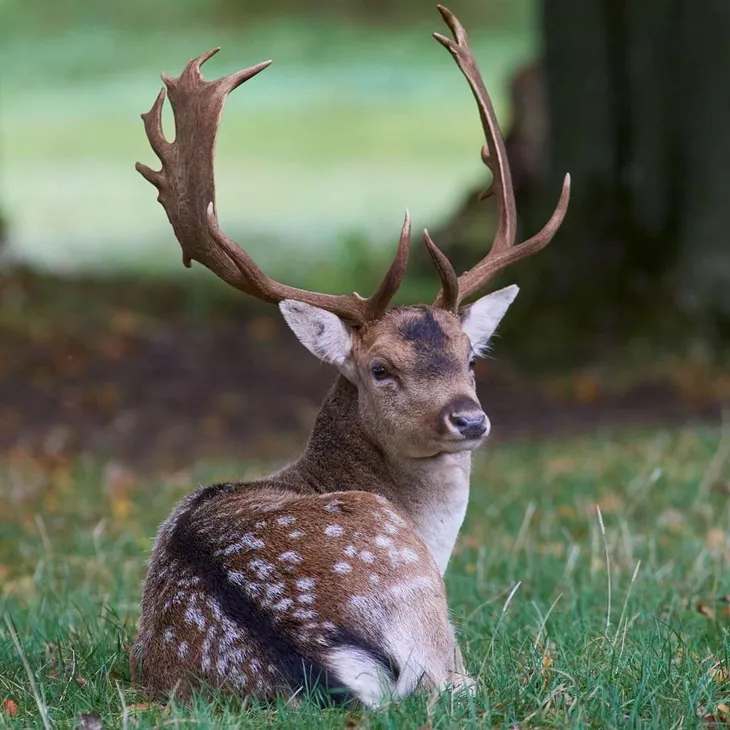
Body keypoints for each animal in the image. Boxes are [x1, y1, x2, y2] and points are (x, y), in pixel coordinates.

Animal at [130, 5, 570, 708]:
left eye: (472, 357)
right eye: (380, 369)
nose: (469, 419)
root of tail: (315, 660)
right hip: (417, 598)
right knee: (449, 684)